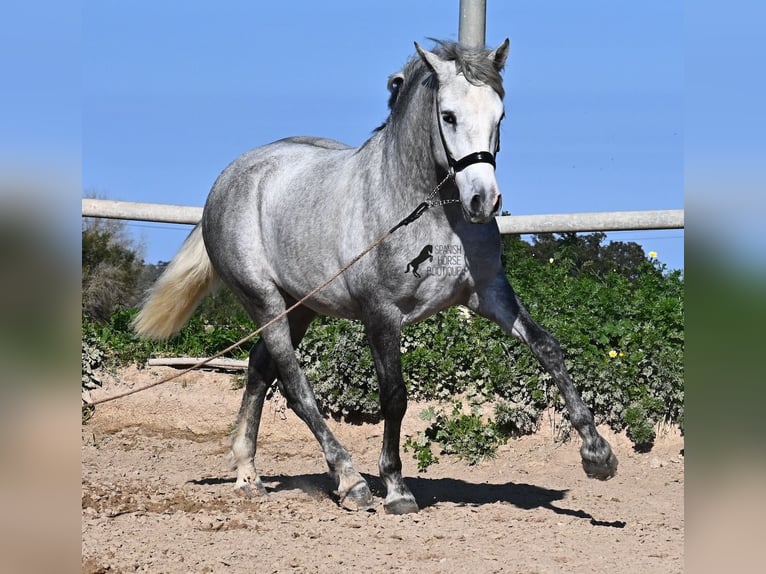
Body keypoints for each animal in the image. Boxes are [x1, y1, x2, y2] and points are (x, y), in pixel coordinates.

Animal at [135, 41, 620, 516]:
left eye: (500, 116)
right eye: (448, 116)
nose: (484, 200)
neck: (425, 211)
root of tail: (228, 179)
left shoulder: (489, 294)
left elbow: (547, 347)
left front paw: (597, 455)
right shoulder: (381, 314)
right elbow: (395, 396)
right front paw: (396, 488)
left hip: (299, 307)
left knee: (258, 369)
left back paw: (248, 474)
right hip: (264, 301)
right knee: (294, 386)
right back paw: (349, 481)